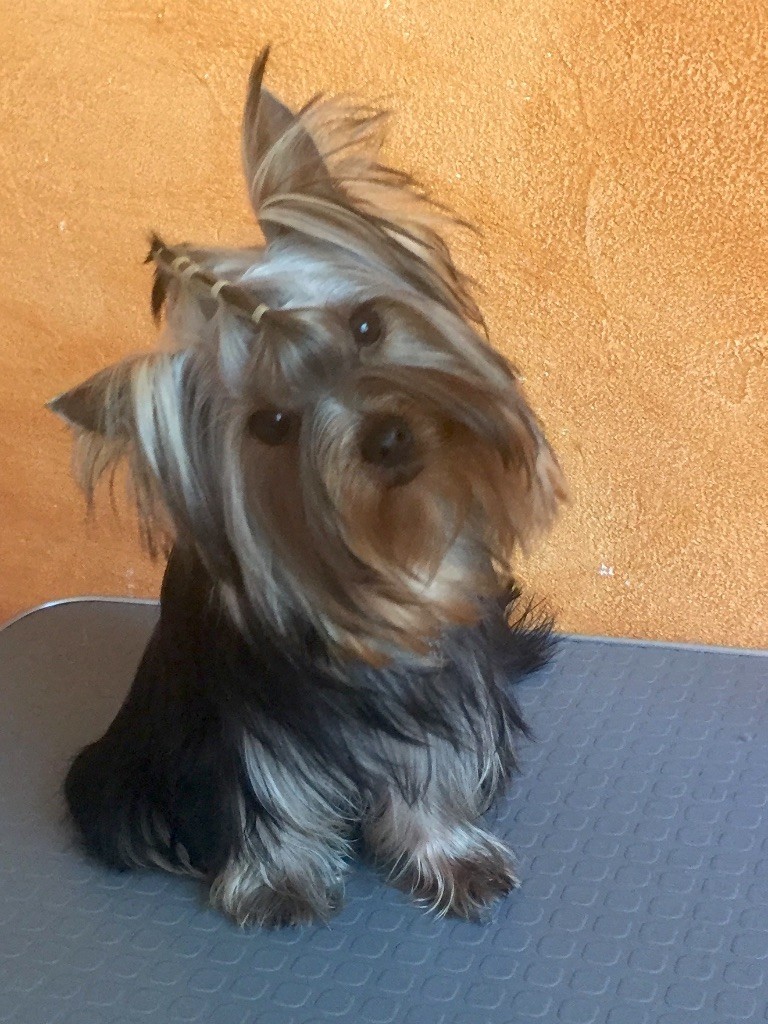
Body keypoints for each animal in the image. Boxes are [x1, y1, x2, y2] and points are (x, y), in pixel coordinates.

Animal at [49, 49, 566, 926]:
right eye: (272, 425)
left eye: (366, 325)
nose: (387, 437)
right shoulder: (243, 721)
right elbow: (272, 793)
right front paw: (277, 880)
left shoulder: (446, 691)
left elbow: (434, 771)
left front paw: (449, 854)